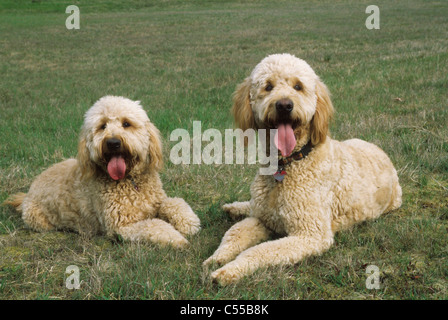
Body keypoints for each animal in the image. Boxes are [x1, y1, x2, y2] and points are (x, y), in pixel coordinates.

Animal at [4, 95, 200, 248]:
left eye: (126, 123)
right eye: (102, 126)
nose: (113, 142)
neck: (130, 182)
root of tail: (28, 193)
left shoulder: (157, 201)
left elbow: (175, 202)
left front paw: (188, 223)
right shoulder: (121, 226)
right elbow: (154, 225)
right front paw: (176, 237)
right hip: (38, 219)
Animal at [204, 54, 402, 284]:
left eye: (298, 86)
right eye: (268, 86)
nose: (284, 105)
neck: (288, 163)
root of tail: (382, 151)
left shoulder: (310, 234)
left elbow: (258, 251)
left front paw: (229, 270)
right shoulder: (262, 218)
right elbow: (234, 233)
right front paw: (217, 258)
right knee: (249, 207)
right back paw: (234, 207)